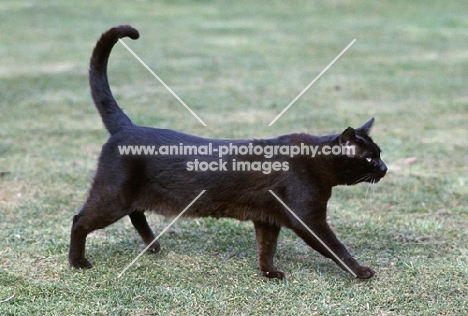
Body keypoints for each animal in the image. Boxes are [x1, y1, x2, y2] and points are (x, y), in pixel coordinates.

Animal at [66, 25, 388, 280]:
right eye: (370, 157)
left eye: (380, 153)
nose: (386, 168)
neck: (318, 160)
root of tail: (125, 127)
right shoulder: (307, 218)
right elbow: (336, 247)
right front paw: (361, 272)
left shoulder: (268, 218)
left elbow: (266, 248)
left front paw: (269, 273)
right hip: (113, 195)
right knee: (79, 220)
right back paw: (78, 262)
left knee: (136, 213)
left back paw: (153, 246)